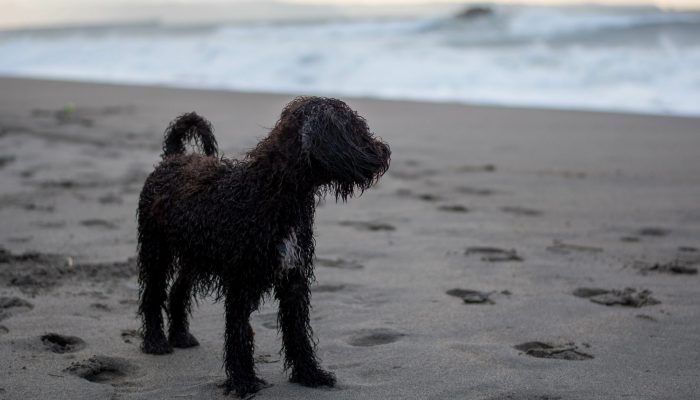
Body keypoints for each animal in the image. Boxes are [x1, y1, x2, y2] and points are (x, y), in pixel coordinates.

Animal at [136, 95, 388, 396]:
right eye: (355, 129)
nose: (386, 151)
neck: (274, 192)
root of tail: (173, 157)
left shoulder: (294, 278)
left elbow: (297, 331)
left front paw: (310, 374)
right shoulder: (242, 282)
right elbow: (239, 332)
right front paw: (243, 381)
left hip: (194, 256)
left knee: (177, 291)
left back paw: (181, 336)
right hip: (156, 249)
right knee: (153, 294)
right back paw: (155, 342)